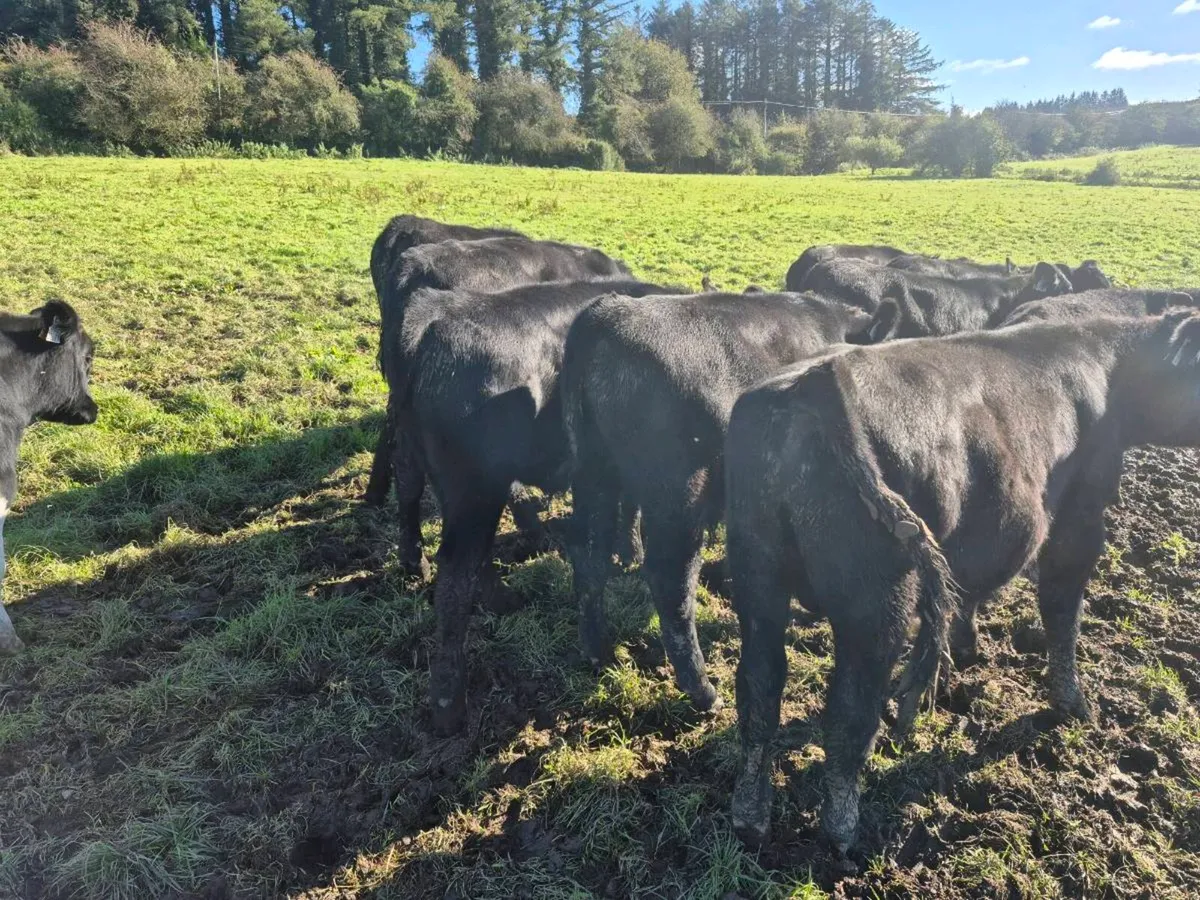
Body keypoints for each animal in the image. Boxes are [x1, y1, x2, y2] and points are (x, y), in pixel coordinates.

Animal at [403, 278, 678, 734]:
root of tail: (431, 335)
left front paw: (629, 552)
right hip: (476, 487)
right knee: (454, 576)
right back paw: (449, 706)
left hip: (435, 471)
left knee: (423, 507)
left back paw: (499, 598)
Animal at [560, 292, 877, 715]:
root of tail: (607, 313)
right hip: (679, 490)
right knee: (672, 579)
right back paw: (703, 690)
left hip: (595, 471)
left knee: (589, 554)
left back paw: (598, 652)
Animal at [723, 310, 1200, 855]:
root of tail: (814, 385)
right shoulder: (1081, 517)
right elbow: (1062, 610)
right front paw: (1074, 706)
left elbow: (962, 596)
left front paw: (957, 660)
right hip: (874, 602)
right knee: (849, 711)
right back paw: (842, 835)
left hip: (757, 578)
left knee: (759, 689)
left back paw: (750, 819)